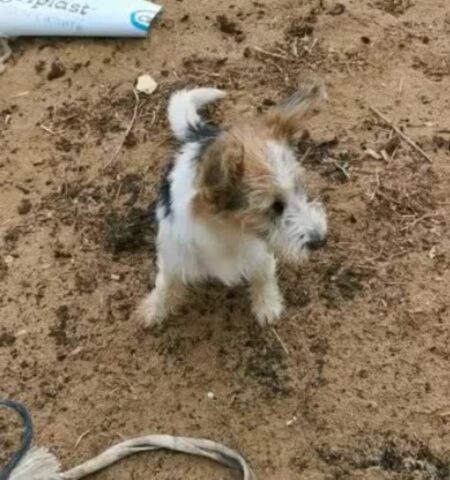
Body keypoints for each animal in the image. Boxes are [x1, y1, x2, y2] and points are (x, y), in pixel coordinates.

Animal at [137, 84, 326, 328]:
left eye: (301, 190)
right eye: (275, 207)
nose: (321, 240)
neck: (227, 229)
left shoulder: (259, 253)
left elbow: (263, 274)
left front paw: (267, 303)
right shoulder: (174, 255)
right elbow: (166, 284)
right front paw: (153, 309)